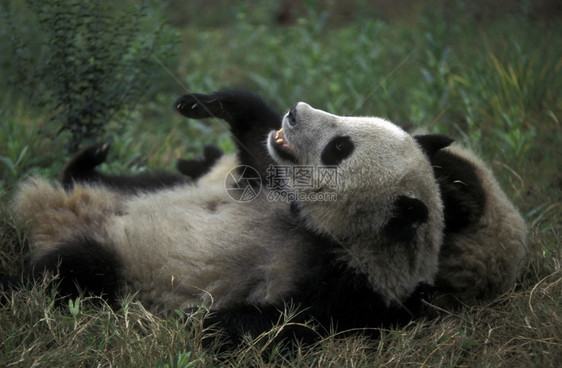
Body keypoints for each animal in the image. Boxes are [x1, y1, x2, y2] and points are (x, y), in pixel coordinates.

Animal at [8, 90, 524, 344]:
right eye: (352, 121)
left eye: (340, 148)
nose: (294, 113)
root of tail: (46, 212)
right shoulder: (267, 185)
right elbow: (256, 147)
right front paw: (213, 103)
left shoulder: (350, 291)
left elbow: (274, 326)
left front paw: (202, 321)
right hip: (133, 190)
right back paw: (85, 163)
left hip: (115, 262)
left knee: (67, 271)